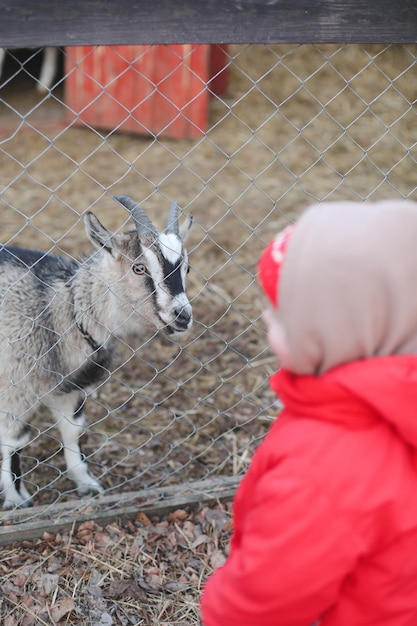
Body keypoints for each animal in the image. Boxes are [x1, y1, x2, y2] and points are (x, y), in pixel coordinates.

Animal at [0, 196, 193, 508]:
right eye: (138, 268)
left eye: (186, 268)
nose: (182, 316)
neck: (59, 312)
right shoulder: (14, 387)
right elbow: (14, 440)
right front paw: (17, 499)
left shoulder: (71, 388)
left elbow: (73, 429)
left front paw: (87, 484)